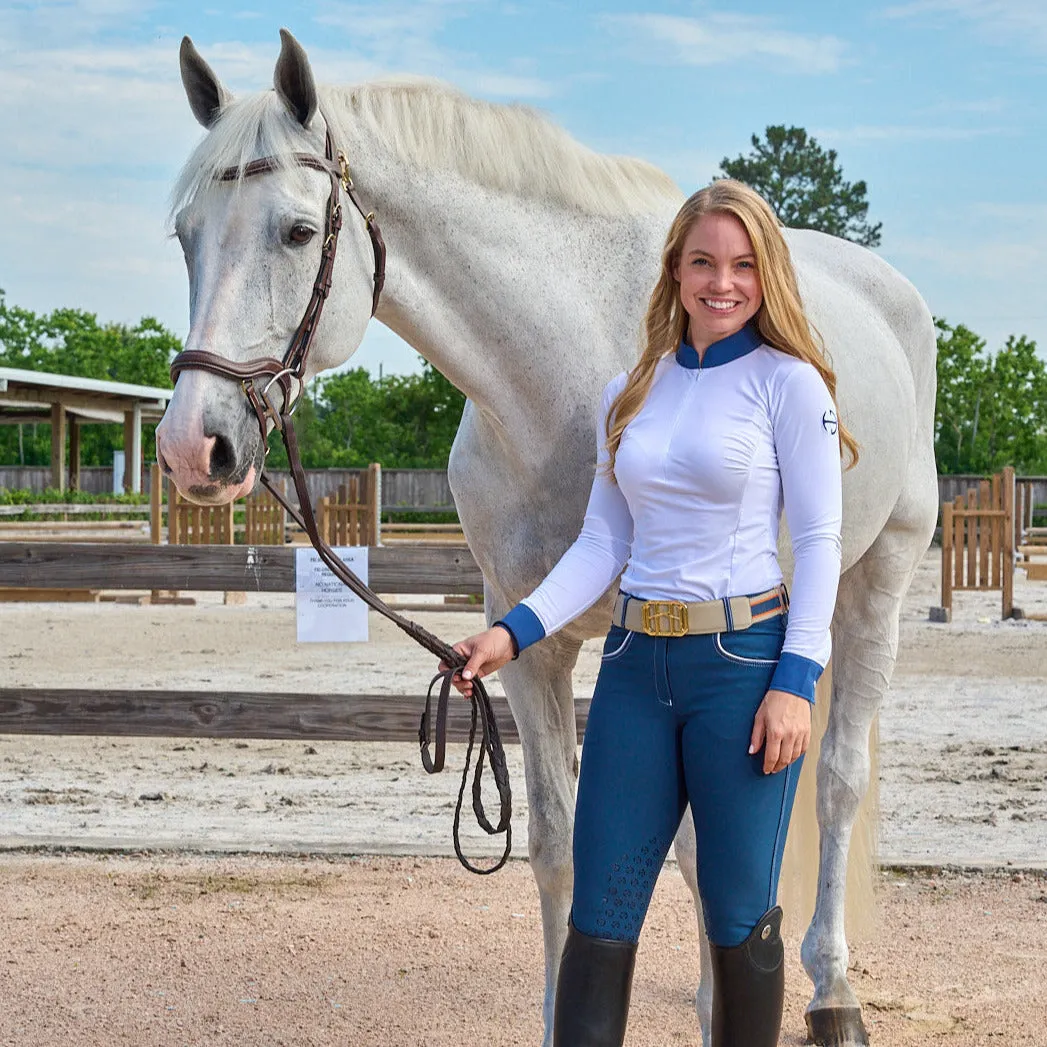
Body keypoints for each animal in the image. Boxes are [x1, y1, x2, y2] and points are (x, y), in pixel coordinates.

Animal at [157, 28, 942, 1042]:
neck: (562, 374)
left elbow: (706, 840)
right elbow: (563, 842)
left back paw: (831, 991)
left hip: (875, 579)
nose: (193, 444)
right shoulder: (531, 642)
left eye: (295, 231)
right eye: (186, 235)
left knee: (838, 779)